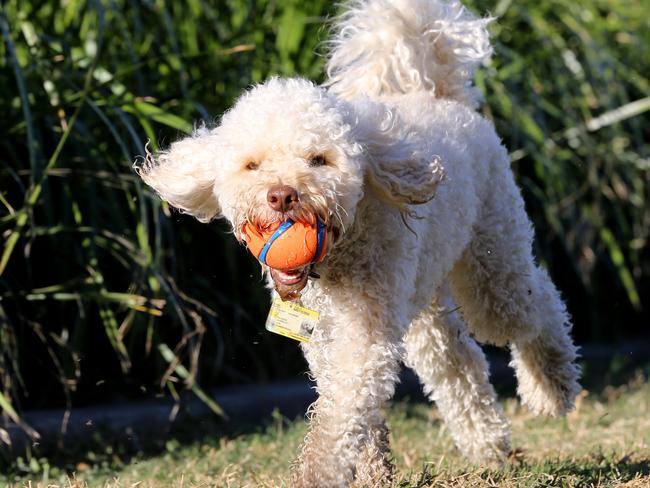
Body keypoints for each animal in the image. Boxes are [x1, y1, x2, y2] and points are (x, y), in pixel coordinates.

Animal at [135, 1, 576, 486]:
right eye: (253, 165)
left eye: (319, 160)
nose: (282, 195)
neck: (337, 257)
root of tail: (439, 95)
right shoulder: (324, 338)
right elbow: (352, 408)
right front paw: (371, 469)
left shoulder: (362, 336)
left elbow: (340, 411)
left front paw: (319, 471)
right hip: (425, 299)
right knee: (457, 361)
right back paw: (487, 444)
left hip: (491, 262)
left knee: (537, 301)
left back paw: (552, 387)